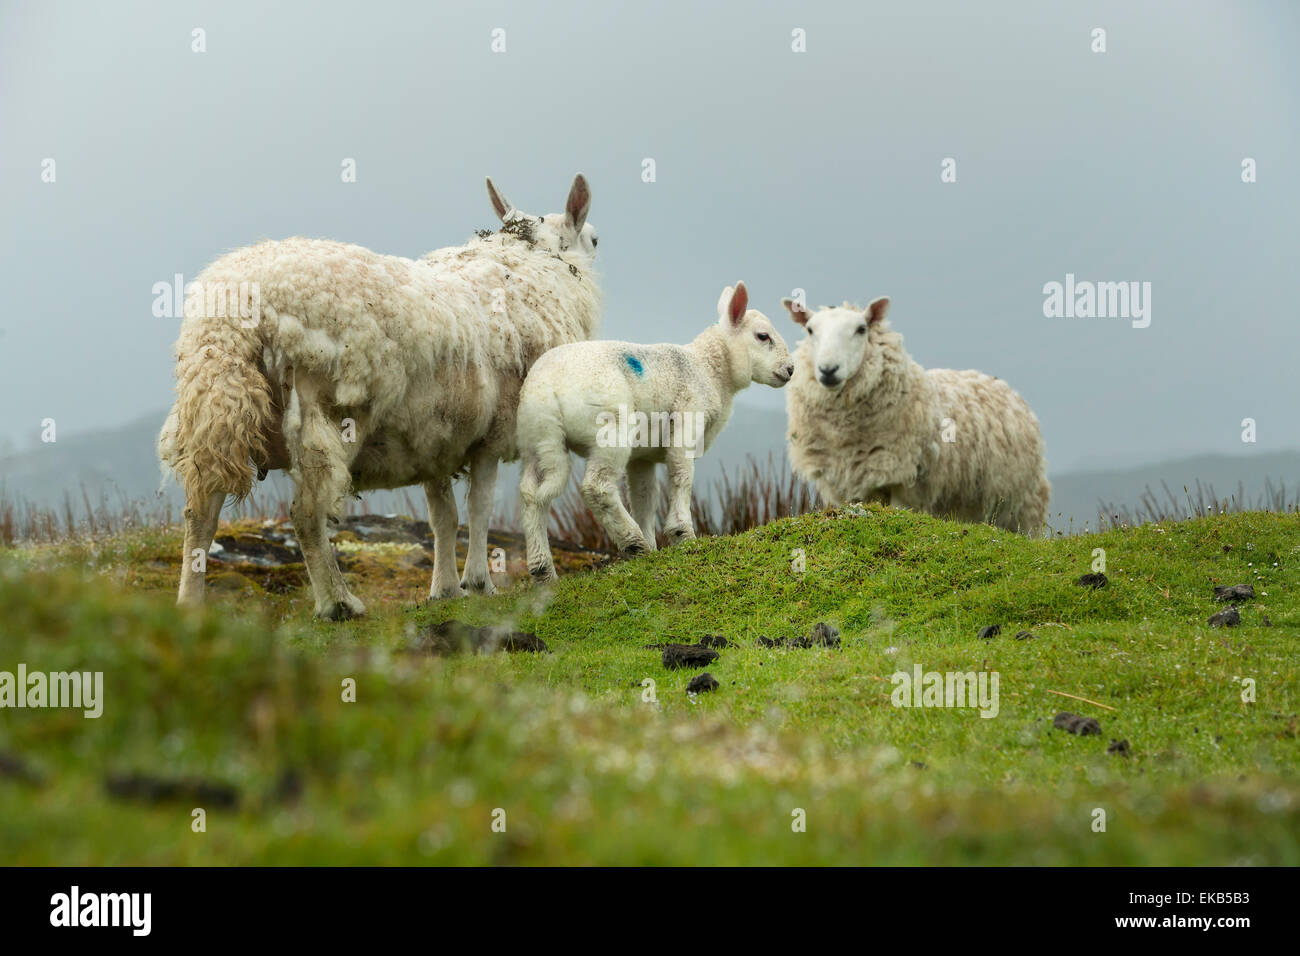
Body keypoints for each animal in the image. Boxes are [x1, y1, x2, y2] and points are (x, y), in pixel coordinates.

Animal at [159, 174, 601, 618]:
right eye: (595, 240)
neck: (531, 267)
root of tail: (234, 315)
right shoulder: (491, 434)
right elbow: (480, 508)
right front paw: (478, 583)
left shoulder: (434, 438)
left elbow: (444, 516)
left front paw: (444, 589)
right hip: (327, 414)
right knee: (306, 513)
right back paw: (338, 603)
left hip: (215, 408)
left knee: (200, 511)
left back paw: (188, 605)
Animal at [517, 281, 795, 582]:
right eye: (763, 336)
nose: (791, 369)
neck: (708, 370)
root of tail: (548, 387)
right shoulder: (687, 419)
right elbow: (682, 475)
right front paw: (682, 534)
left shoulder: (643, 456)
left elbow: (644, 496)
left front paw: (654, 546)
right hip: (610, 431)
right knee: (596, 487)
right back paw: (633, 543)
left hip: (535, 440)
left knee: (531, 494)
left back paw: (543, 570)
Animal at [782, 295, 1050, 533]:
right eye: (809, 330)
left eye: (861, 329)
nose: (828, 370)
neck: (845, 435)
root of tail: (1001, 385)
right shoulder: (846, 484)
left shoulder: (904, 481)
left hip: (1024, 506)